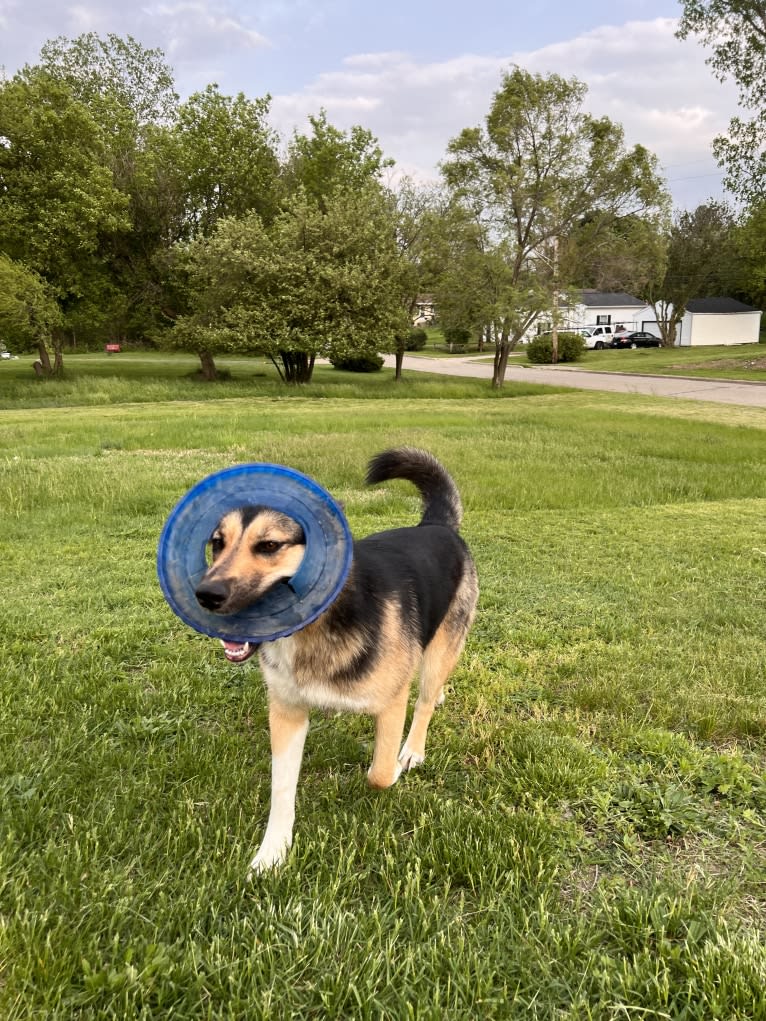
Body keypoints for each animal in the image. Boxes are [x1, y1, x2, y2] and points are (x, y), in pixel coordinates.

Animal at [195, 447, 477, 869]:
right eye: (217, 543)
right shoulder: (286, 712)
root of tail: (436, 526)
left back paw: (413, 748)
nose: (205, 595)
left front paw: (395, 766)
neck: (315, 627)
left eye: (269, 546)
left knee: (425, 699)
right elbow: (281, 790)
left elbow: (380, 772)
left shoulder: (392, 703)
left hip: (442, 646)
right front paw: (272, 852)